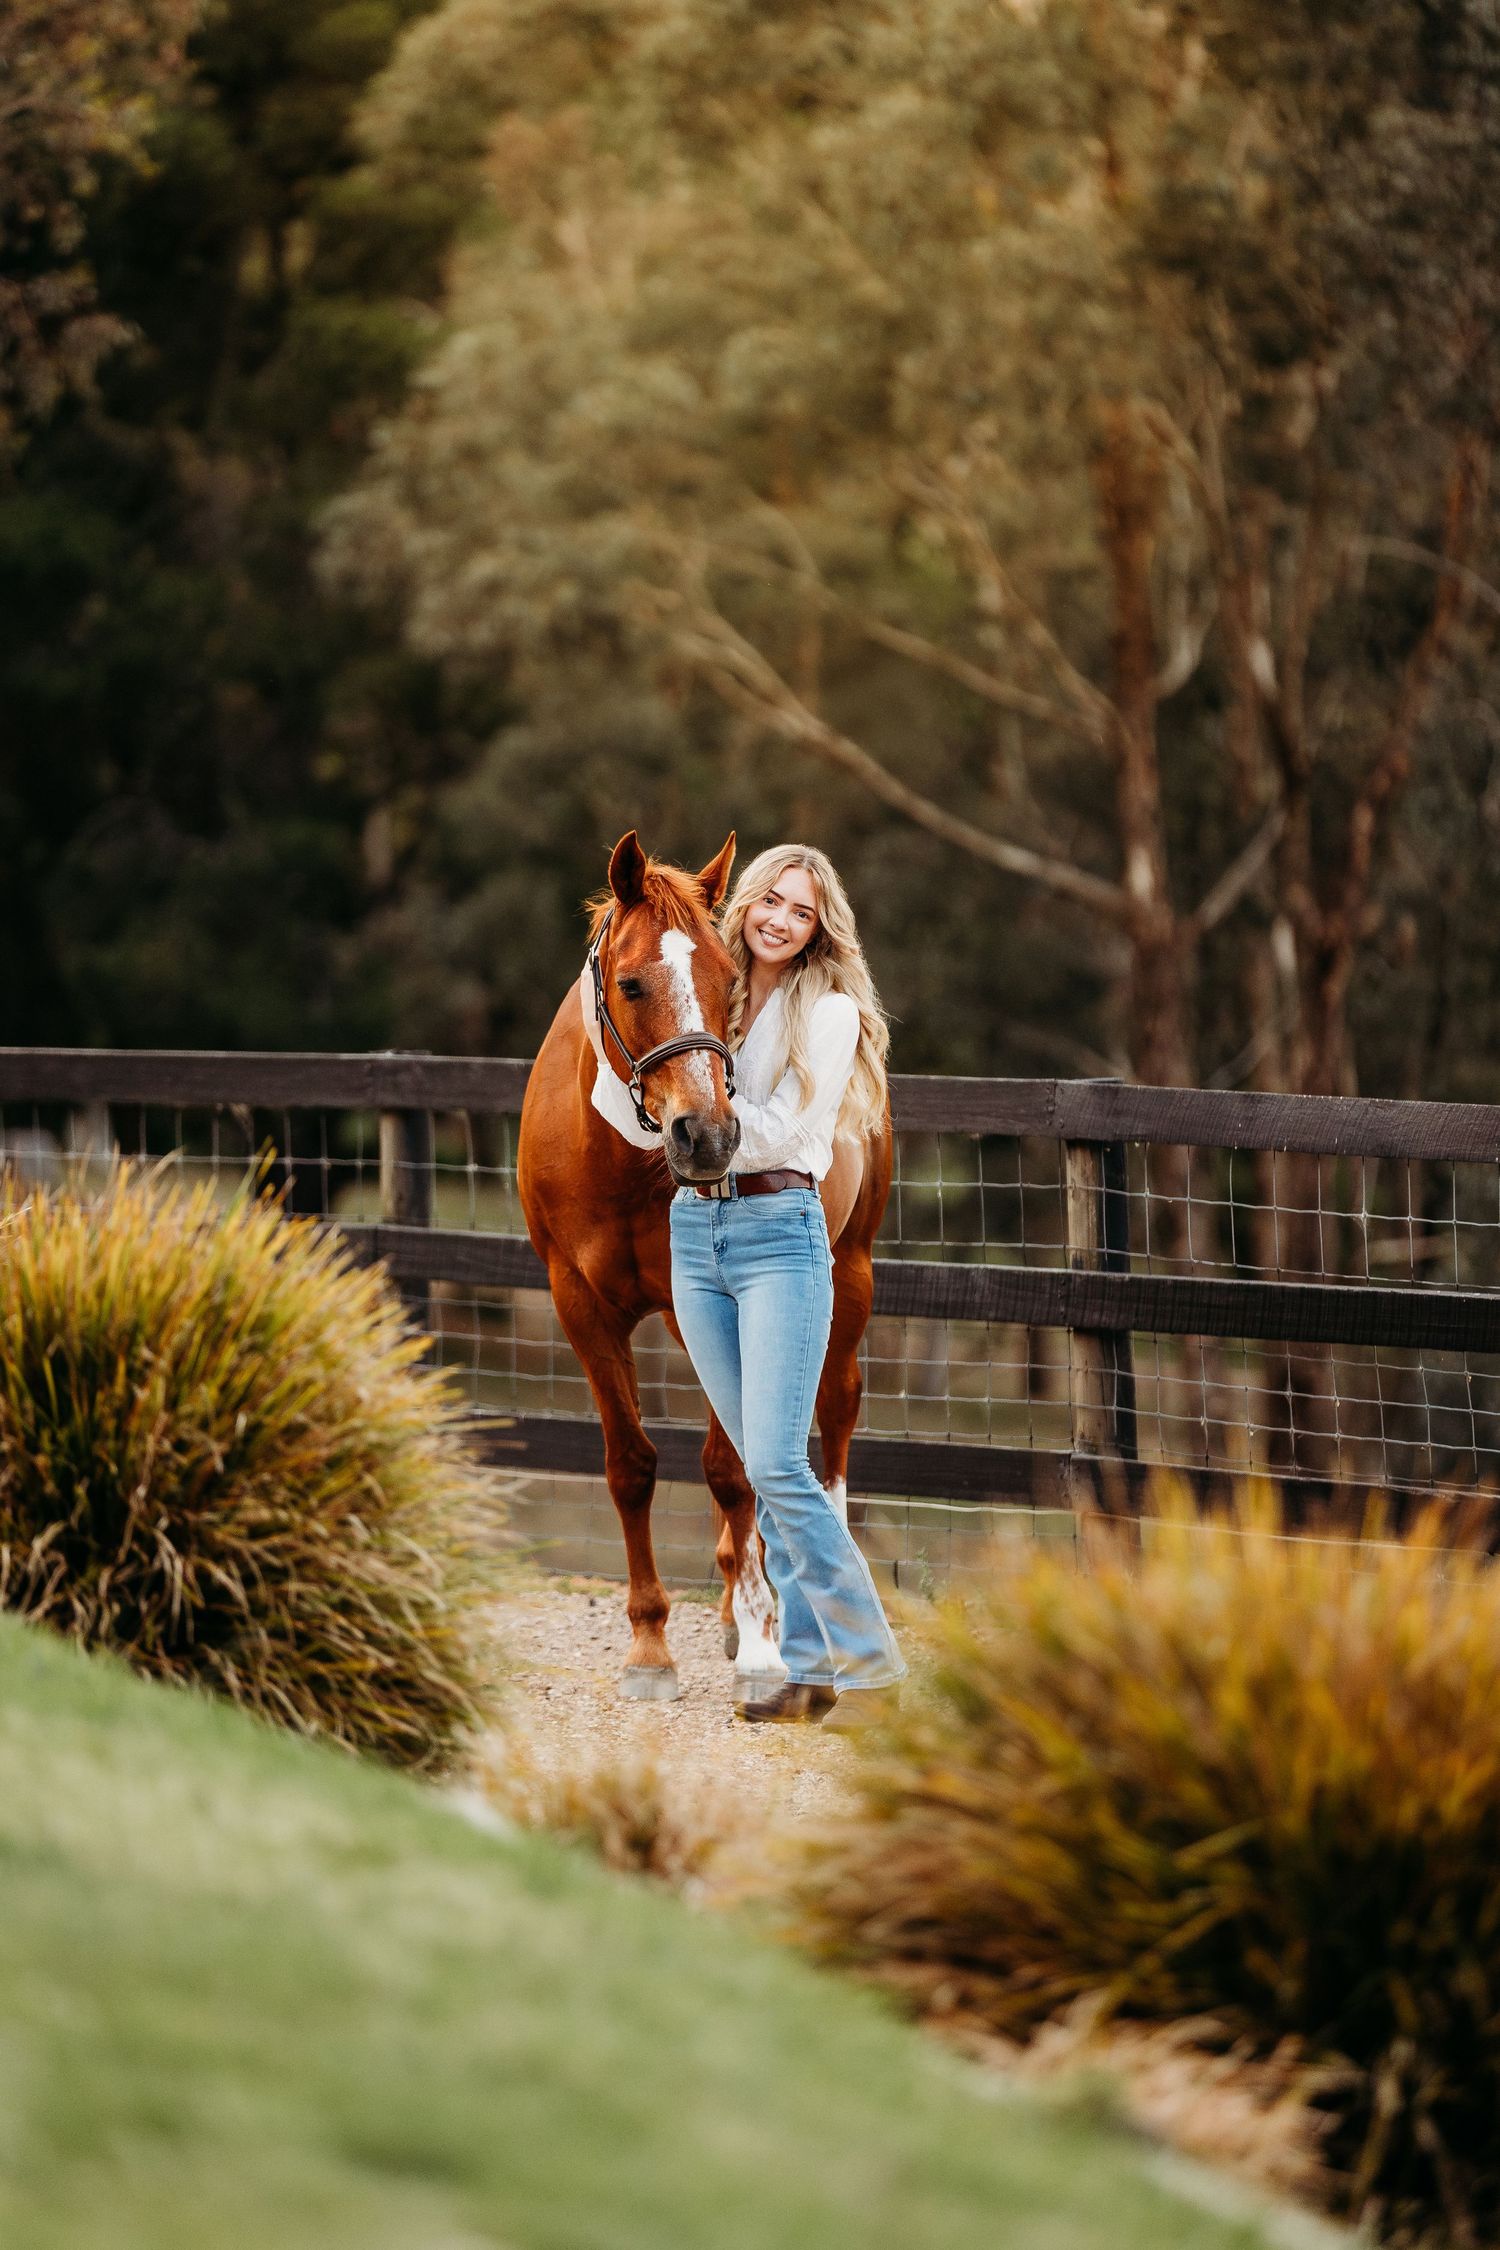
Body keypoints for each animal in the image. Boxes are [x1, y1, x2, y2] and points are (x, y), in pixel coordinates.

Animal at [517, 829, 894, 1701]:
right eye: (629, 982)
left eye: (729, 985)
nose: (708, 1137)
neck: (617, 1160)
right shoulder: (580, 1307)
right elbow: (631, 1467)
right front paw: (649, 1646)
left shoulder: (717, 1304)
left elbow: (727, 1469)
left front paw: (756, 1645)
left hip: (849, 1277)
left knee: (832, 1415)